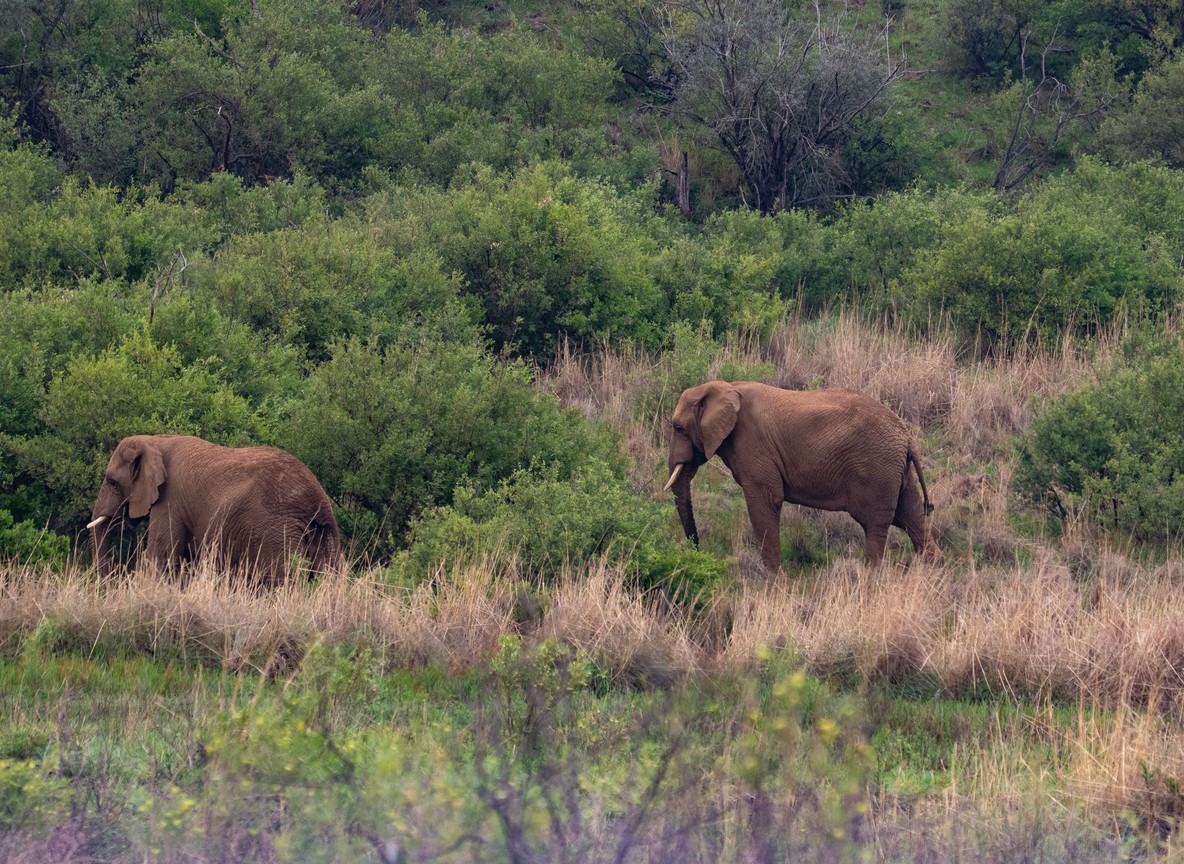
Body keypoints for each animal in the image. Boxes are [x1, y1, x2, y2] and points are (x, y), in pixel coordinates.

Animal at [88, 435, 341, 584]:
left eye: (112, 482)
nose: (112, 582)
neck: (154, 440)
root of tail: (315, 499)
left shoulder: (170, 499)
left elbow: (160, 555)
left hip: (276, 531)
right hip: (324, 531)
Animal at [664, 381, 935, 572]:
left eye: (678, 428)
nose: (697, 551)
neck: (724, 387)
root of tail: (907, 437)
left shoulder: (753, 445)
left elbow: (766, 501)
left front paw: (774, 582)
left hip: (877, 469)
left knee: (876, 524)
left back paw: (870, 577)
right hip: (894, 471)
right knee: (910, 515)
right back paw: (930, 572)